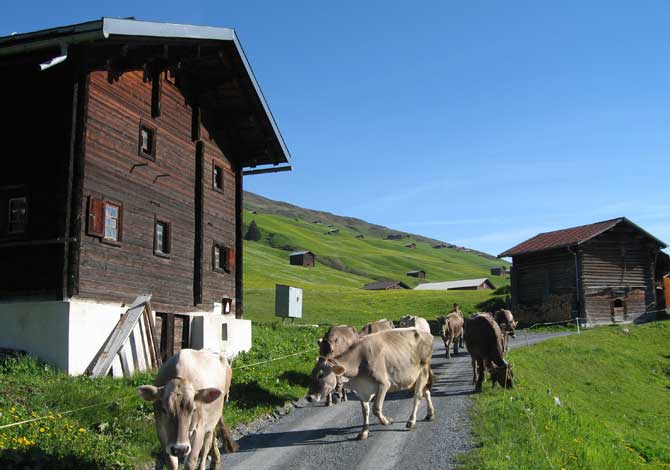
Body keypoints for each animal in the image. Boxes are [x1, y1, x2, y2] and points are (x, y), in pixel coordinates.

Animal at [307, 328, 435, 440]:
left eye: (321, 375)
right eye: (312, 374)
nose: (309, 397)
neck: (358, 364)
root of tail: (426, 333)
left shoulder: (384, 384)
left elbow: (376, 408)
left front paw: (387, 420)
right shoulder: (362, 391)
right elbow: (365, 411)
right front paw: (364, 432)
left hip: (423, 369)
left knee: (417, 396)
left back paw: (411, 421)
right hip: (411, 376)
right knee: (426, 391)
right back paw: (430, 414)